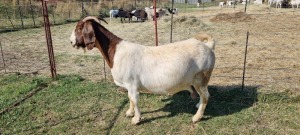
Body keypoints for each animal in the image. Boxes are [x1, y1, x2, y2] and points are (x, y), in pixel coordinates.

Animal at [69, 16, 216, 125]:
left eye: (79, 28)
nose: (71, 42)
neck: (116, 52)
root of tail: (208, 46)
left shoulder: (132, 84)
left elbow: (134, 100)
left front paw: (136, 119)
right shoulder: (128, 86)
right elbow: (129, 98)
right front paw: (129, 113)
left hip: (200, 78)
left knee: (206, 96)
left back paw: (196, 117)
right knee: (203, 96)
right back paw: (198, 105)